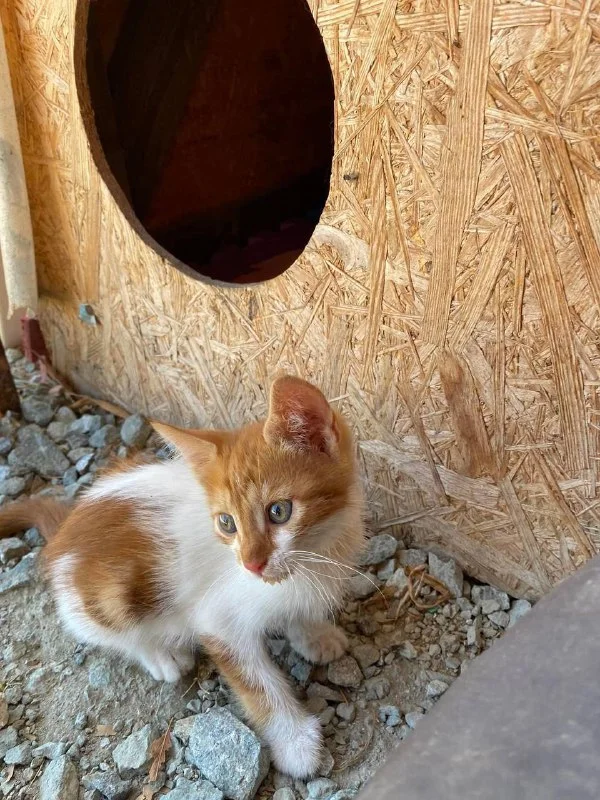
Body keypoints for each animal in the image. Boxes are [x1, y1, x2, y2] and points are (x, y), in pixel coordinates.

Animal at [0, 375, 365, 777]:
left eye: (279, 511)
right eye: (227, 523)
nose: (251, 564)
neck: (314, 555)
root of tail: (64, 531)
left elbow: (298, 610)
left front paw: (313, 634)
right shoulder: (219, 619)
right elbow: (257, 682)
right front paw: (296, 743)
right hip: (109, 596)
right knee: (97, 629)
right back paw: (160, 654)